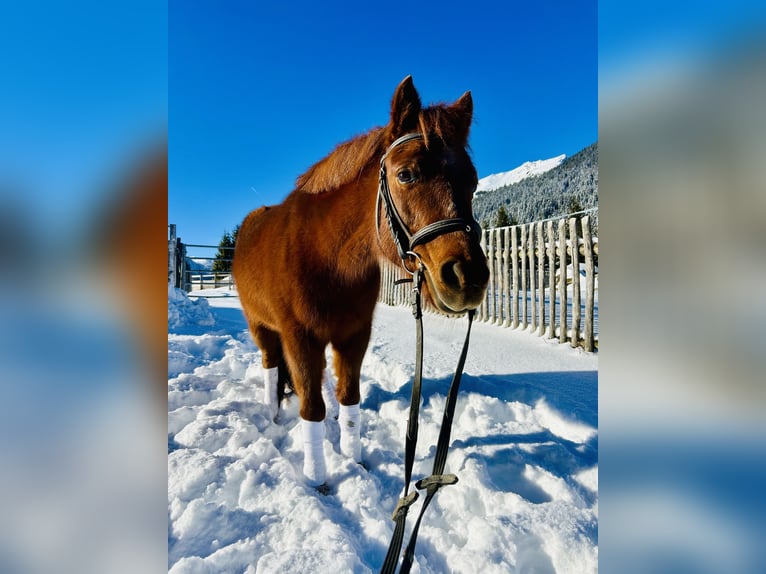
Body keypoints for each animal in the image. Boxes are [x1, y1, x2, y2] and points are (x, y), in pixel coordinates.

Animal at [231, 76, 488, 488]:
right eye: (406, 174)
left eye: (473, 180)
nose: (468, 277)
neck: (328, 260)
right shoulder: (298, 338)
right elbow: (312, 408)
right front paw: (317, 480)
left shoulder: (354, 336)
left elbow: (349, 397)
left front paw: (354, 460)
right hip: (261, 327)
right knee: (271, 368)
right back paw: (273, 414)